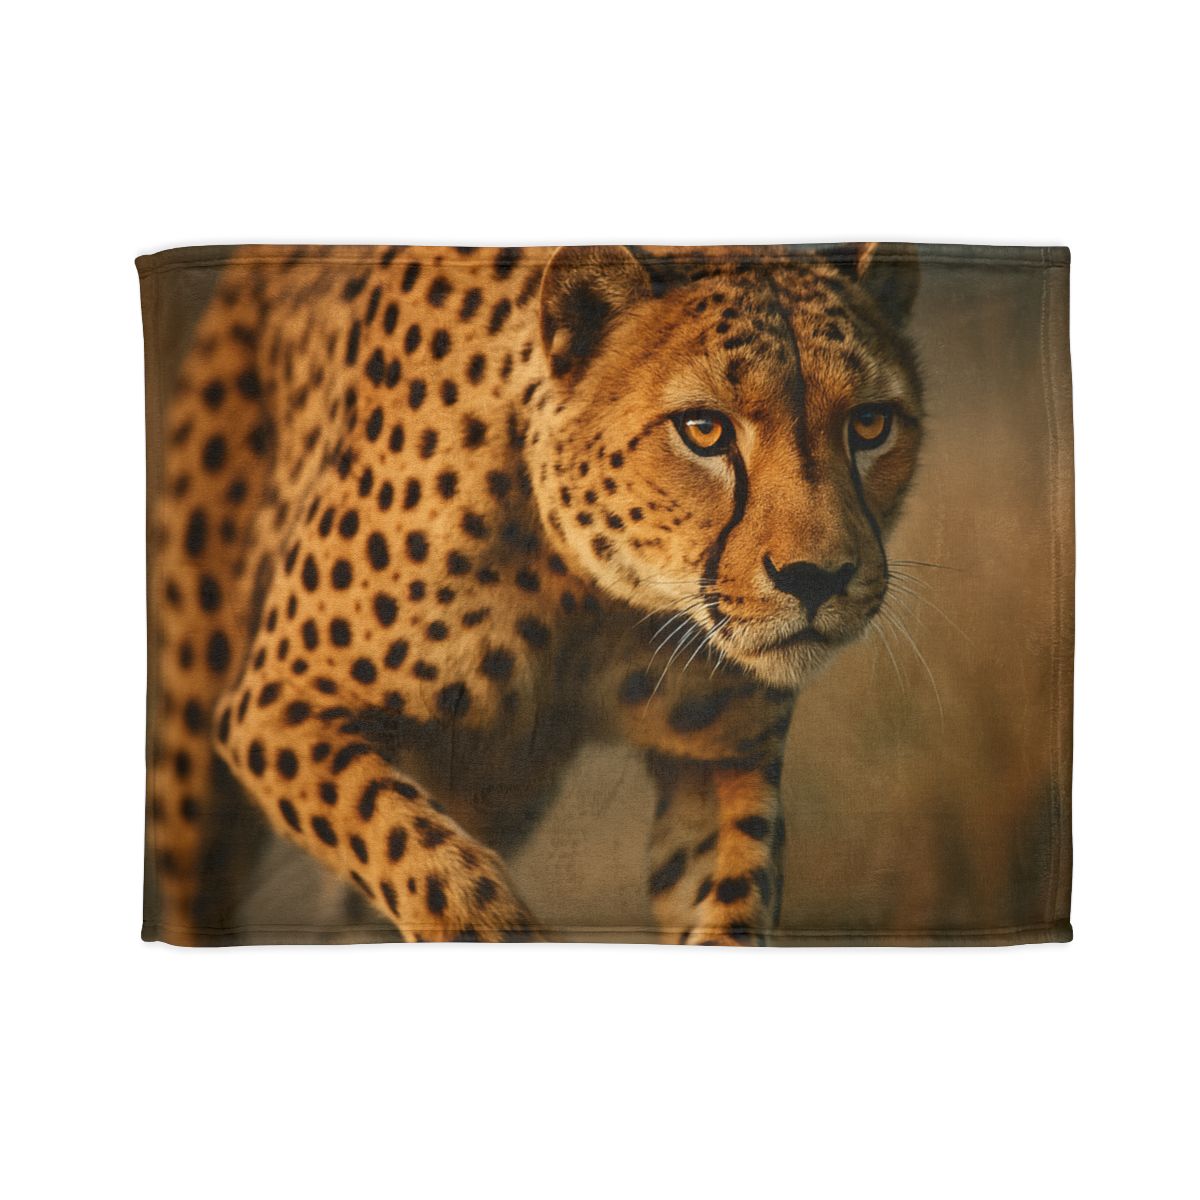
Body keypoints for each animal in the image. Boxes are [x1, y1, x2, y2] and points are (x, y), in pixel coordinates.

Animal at [144, 241, 922, 945]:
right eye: (703, 429)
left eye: (869, 424)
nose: (816, 578)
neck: (590, 591)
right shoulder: (276, 706)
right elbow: (430, 865)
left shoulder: (720, 760)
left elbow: (731, 903)